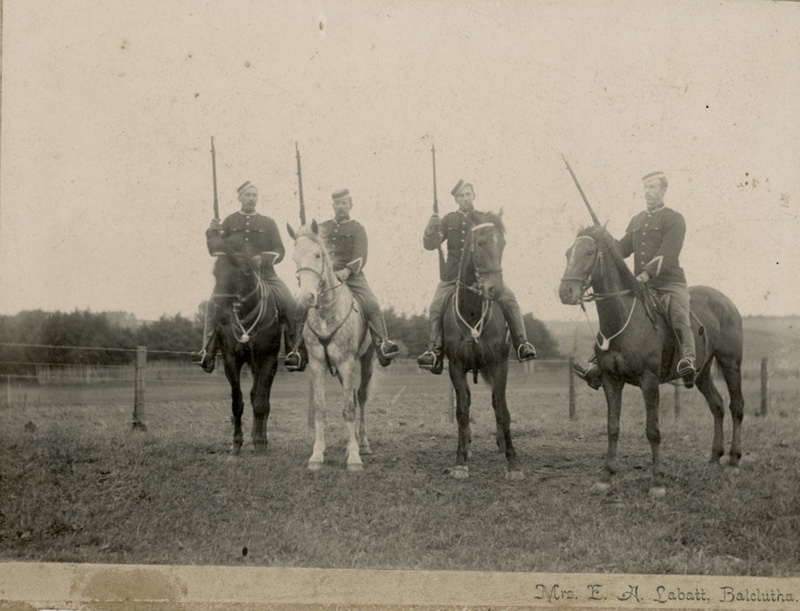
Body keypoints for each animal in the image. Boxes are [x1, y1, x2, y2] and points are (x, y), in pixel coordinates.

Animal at [216, 256, 284, 456]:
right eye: (215, 272)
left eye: (242, 272)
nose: (221, 313)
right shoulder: (230, 361)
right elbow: (237, 403)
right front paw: (236, 445)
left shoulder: (267, 361)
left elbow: (261, 403)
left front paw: (260, 443)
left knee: (262, 399)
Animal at [288, 221, 376, 474]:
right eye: (295, 258)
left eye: (318, 255)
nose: (306, 298)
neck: (327, 313)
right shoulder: (317, 365)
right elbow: (320, 409)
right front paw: (317, 455)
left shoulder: (347, 363)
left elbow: (349, 409)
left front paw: (354, 458)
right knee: (354, 397)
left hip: (366, 360)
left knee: (361, 398)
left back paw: (363, 444)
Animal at [440, 213, 520, 480]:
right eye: (482, 243)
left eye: (503, 244)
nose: (495, 289)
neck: (473, 311)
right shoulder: (455, 367)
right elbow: (462, 412)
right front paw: (460, 462)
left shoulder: (499, 365)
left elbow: (502, 410)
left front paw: (513, 464)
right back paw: (468, 446)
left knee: (497, 402)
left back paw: (502, 445)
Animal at [556, 226, 744, 498]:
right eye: (568, 252)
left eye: (589, 251)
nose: (565, 293)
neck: (624, 319)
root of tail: (726, 301)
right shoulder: (611, 380)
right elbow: (612, 427)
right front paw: (606, 477)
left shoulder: (649, 381)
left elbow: (652, 431)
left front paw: (657, 481)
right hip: (701, 371)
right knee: (717, 405)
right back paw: (713, 459)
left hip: (731, 363)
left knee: (736, 406)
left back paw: (733, 461)